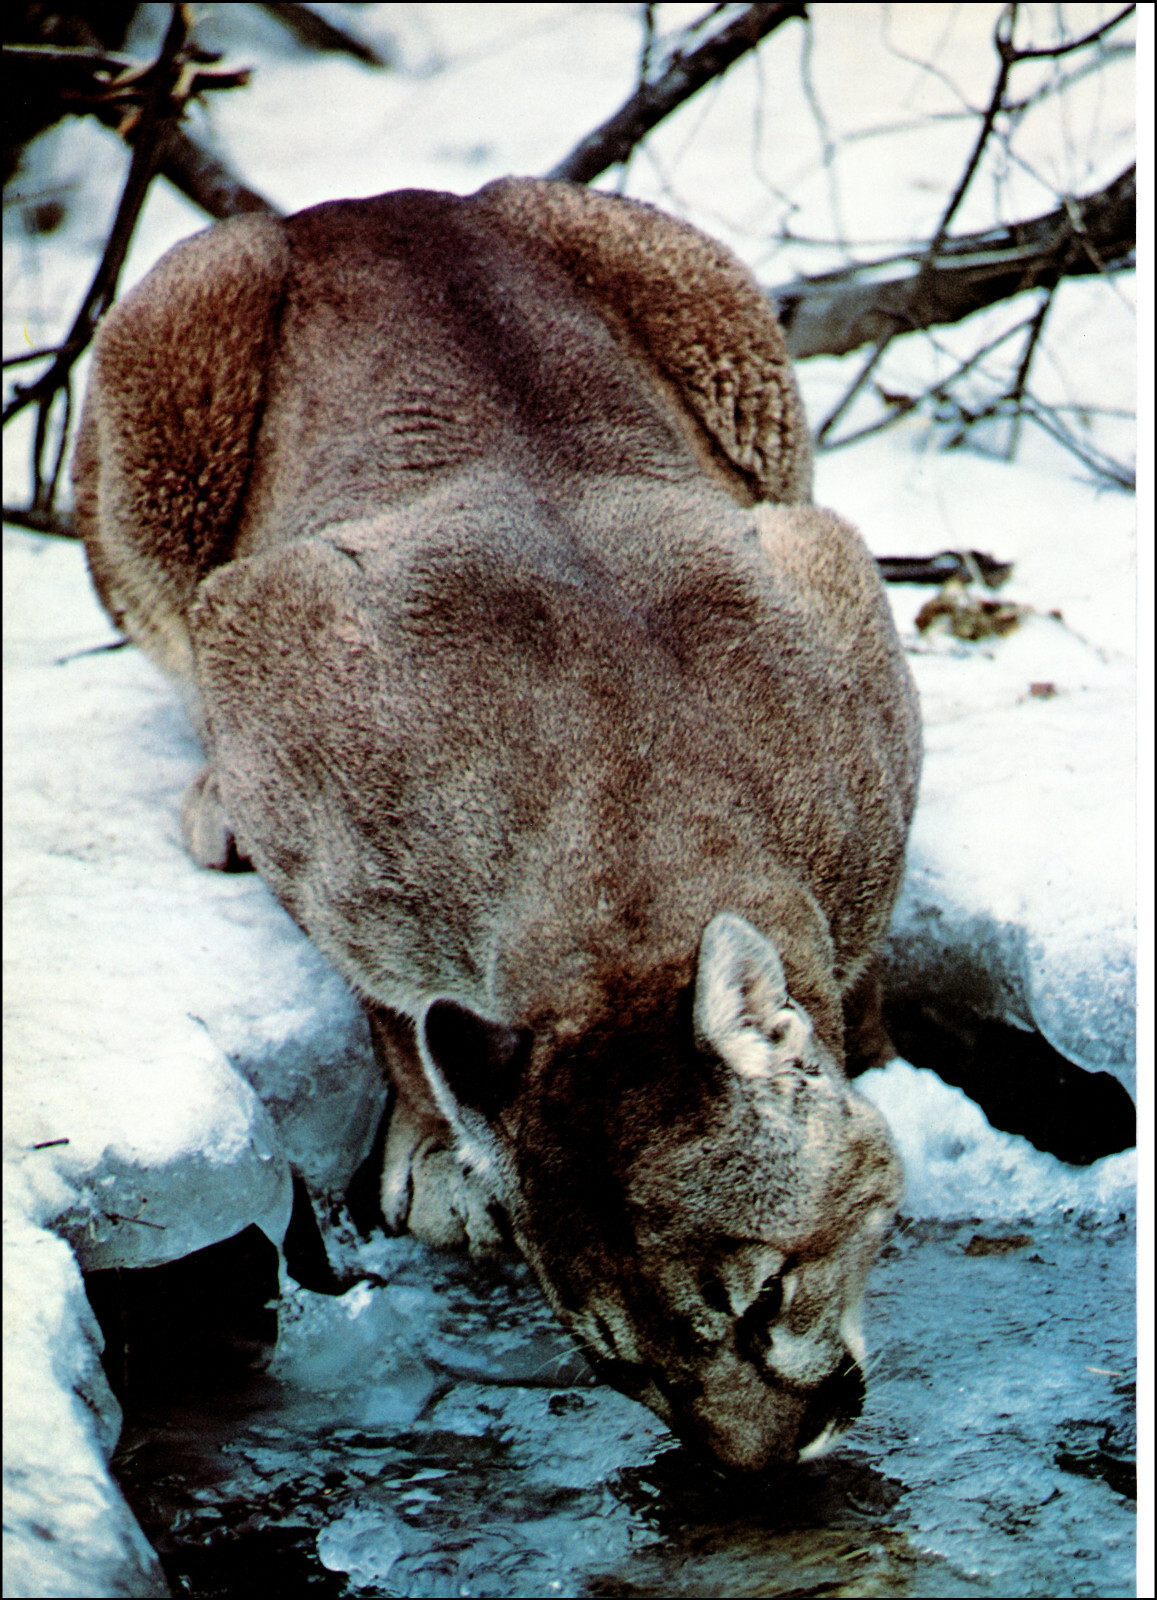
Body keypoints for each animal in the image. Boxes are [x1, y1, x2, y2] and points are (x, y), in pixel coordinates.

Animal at [73, 178, 918, 1471]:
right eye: (629, 1371)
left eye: (764, 1299)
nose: (765, 1469)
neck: (628, 863)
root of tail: (365, 202)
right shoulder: (267, 635)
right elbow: (384, 994)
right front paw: (433, 1142)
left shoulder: (825, 576)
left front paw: (863, 1041)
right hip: (171, 346)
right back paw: (210, 800)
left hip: (727, 340)